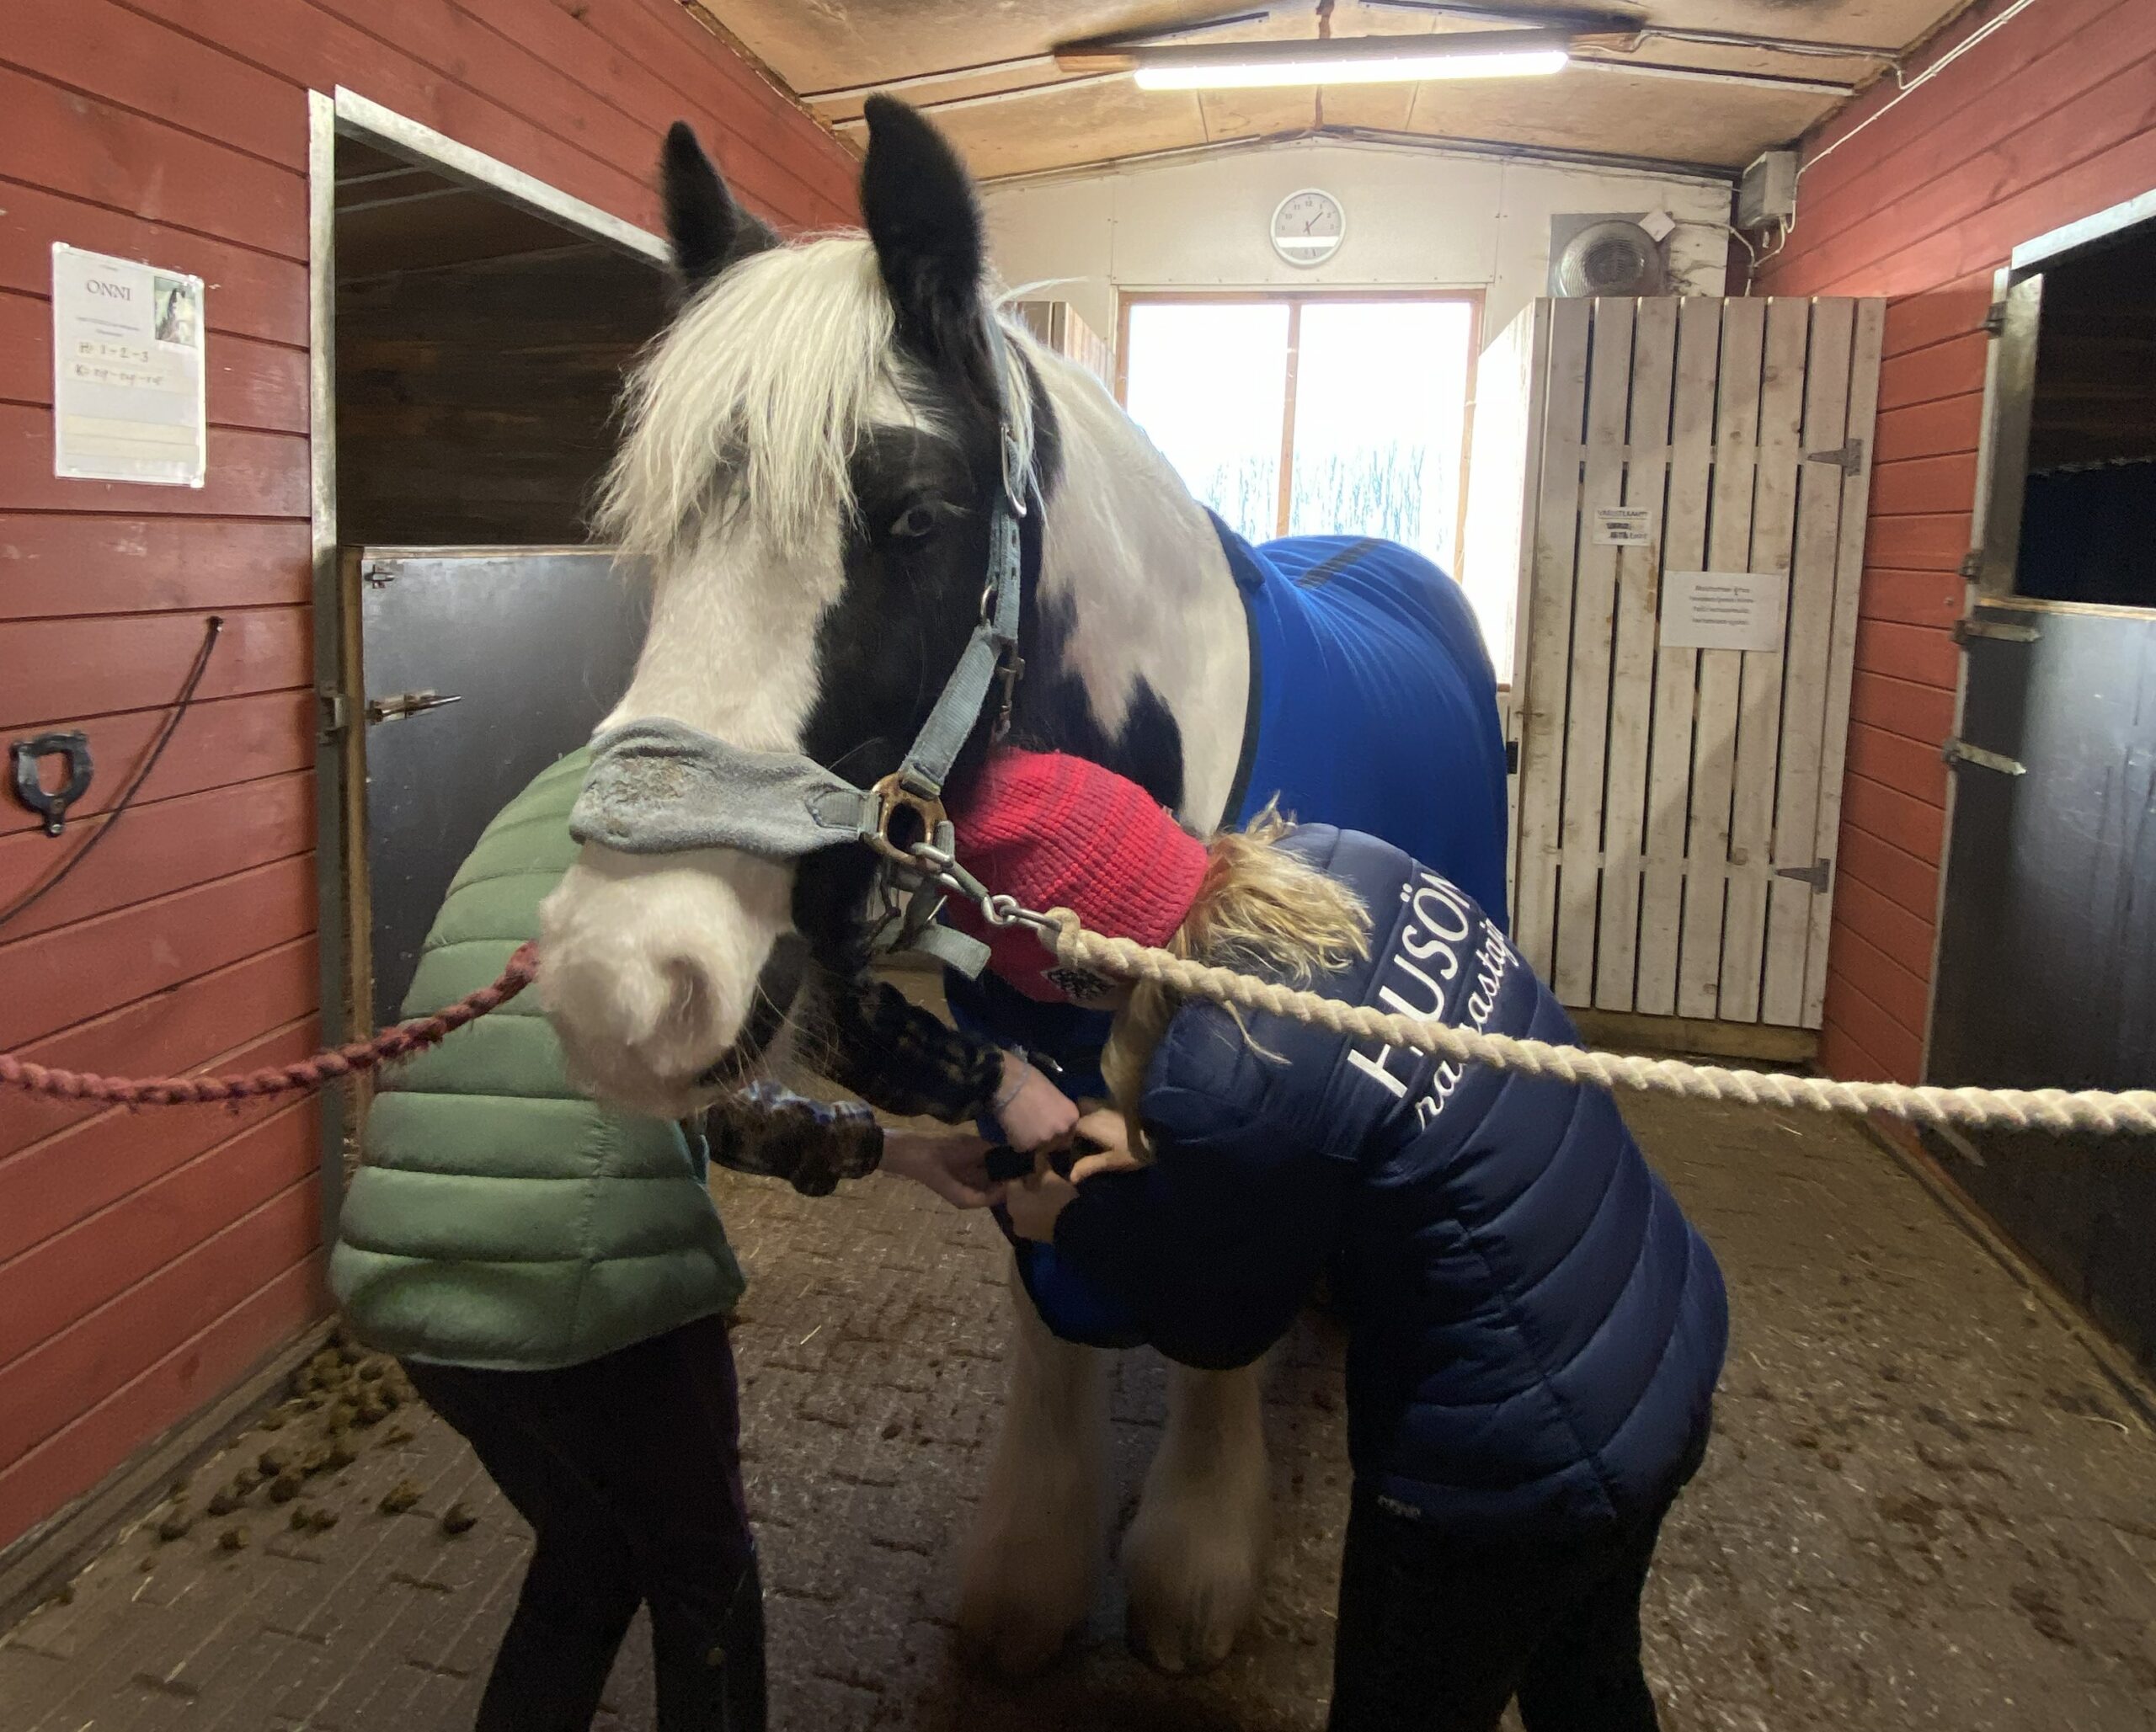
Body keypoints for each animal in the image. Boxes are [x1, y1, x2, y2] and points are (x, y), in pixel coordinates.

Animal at [537, 98, 1508, 1679]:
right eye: (666, 529)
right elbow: (1045, 1287)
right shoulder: (1011, 1066)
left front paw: (1194, 1564)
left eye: (914, 517)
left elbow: (1222, 1317)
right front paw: (1034, 1576)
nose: (622, 977)